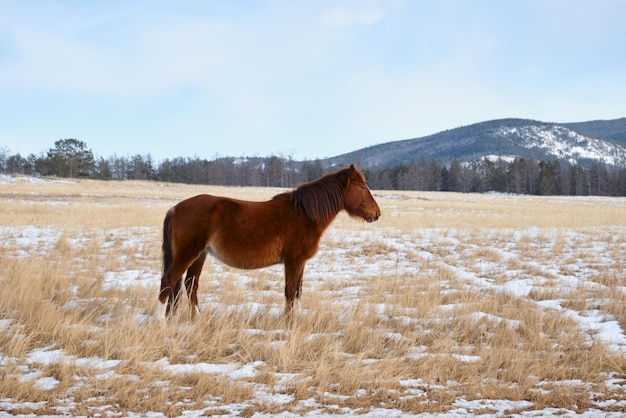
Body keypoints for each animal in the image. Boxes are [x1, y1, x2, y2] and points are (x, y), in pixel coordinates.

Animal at [156, 165, 380, 322]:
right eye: (362, 187)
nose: (376, 214)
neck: (304, 214)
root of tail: (175, 208)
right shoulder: (293, 261)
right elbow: (290, 291)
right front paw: (289, 322)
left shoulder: (301, 263)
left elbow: (298, 291)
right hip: (188, 254)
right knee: (169, 281)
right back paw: (161, 322)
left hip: (199, 255)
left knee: (189, 285)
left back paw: (196, 318)